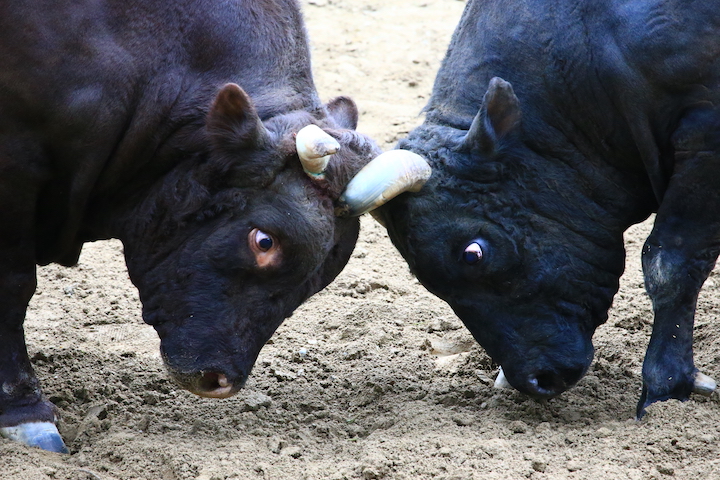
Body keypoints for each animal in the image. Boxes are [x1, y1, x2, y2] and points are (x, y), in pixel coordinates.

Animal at [0, 0, 428, 450]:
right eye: (264, 241)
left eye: (319, 278)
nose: (220, 379)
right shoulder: (14, 166)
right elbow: (14, 286)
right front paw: (25, 411)